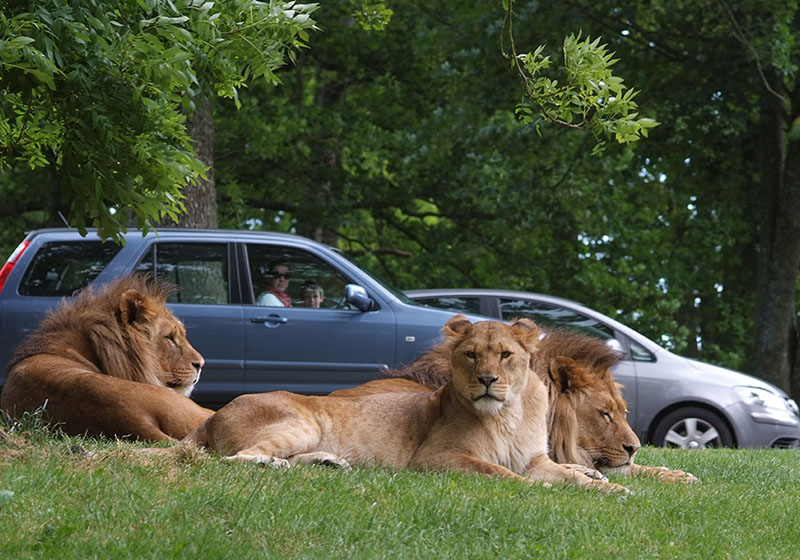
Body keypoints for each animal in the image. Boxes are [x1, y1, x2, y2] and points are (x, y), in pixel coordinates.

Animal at [148, 318, 624, 492]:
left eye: (505, 355)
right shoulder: (435, 459)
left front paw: (608, 486)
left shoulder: (535, 458)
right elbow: (505, 474)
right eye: (472, 355)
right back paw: (276, 465)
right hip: (300, 422)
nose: (488, 379)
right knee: (235, 458)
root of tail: (214, 416)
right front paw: (549, 488)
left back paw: (329, 463)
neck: (508, 414)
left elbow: (565, 472)